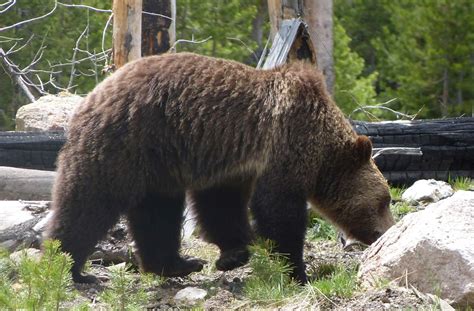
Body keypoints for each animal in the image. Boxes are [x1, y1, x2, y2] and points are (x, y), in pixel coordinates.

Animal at [44, 52, 394, 284]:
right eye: (384, 201)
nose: (386, 232)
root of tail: (92, 94)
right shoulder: (284, 143)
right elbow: (278, 210)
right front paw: (297, 271)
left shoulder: (230, 163)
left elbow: (220, 207)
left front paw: (233, 254)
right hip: (126, 140)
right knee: (89, 201)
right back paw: (70, 265)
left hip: (158, 162)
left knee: (156, 212)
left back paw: (178, 264)